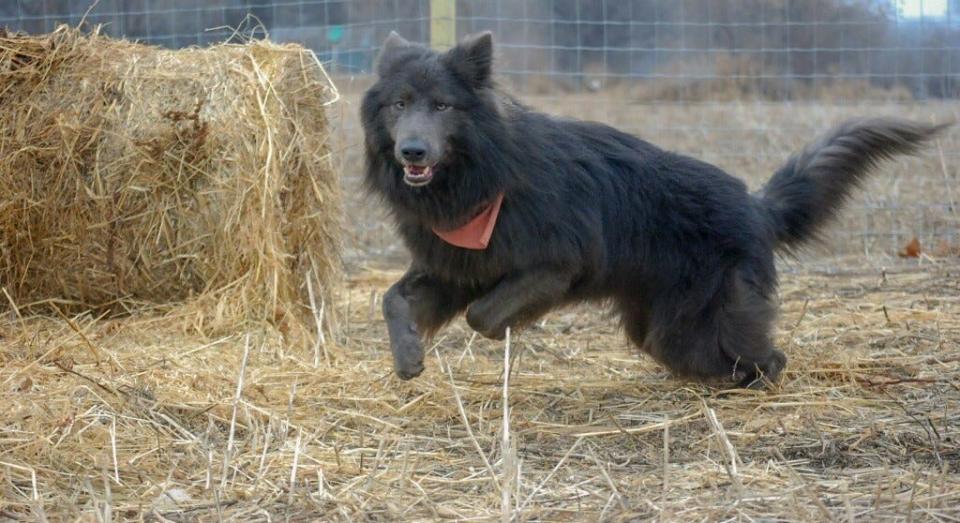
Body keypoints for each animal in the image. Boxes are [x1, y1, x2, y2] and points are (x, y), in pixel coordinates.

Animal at [364, 30, 948, 386]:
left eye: (442, 106)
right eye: (399, 104)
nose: (412, 152)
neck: (480, 172)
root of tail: (755, 205)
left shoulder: (554, 265)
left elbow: (483, 315)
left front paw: (494, 330)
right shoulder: (454, 265)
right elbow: (392, 300)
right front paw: (408, 355)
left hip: (706, 317)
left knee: (766, 356)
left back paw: (748, 383)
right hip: (663, 326)